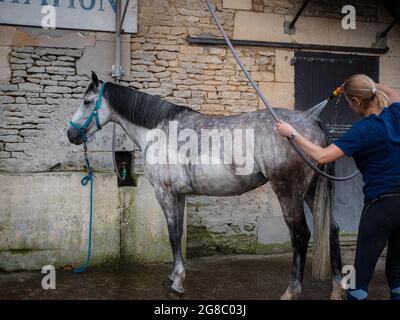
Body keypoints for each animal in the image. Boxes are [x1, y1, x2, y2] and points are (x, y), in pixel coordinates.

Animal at [67, 72, 342, 300]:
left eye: (87, 102)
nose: (70, 134)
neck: (160, 130)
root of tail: (312, 121)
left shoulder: (165, 194)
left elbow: (173, 235)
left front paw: (177, 284)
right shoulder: (179, 195)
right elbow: (177, 235)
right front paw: (173, 278)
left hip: (289, 193)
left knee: (301, 235)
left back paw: (291, 292)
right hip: (311, 192)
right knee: (332, 230)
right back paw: (338, 289)